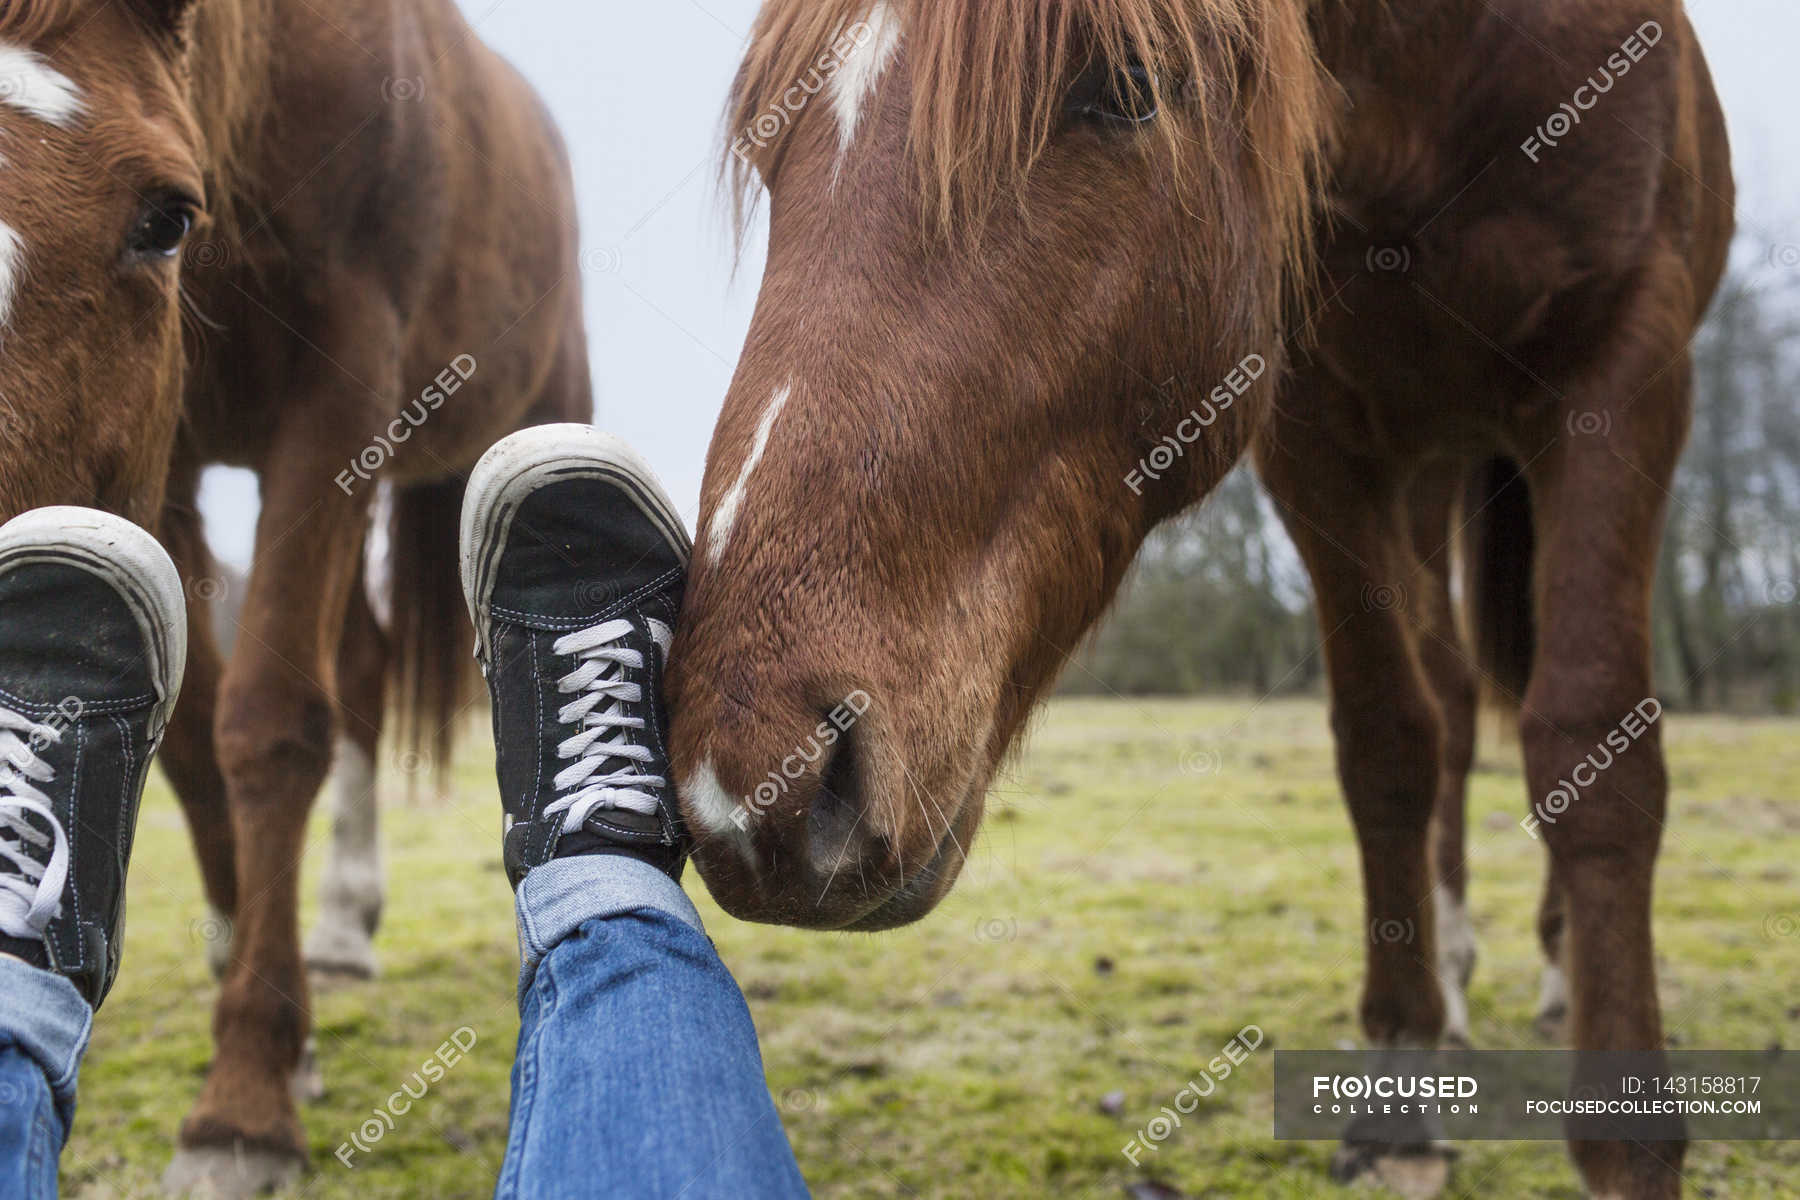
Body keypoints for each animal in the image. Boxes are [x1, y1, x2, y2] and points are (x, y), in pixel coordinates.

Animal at [0, 0, 590, 1194]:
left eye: (166, 218)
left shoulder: (337, 393)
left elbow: (270, 726)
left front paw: (245, 1103)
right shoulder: (168, 453)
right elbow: (192, 749)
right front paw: (272, 1010)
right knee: (361, 665)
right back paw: (341, 930)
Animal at [673, 2, 1728, 1200]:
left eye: (1131, 87)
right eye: (770, 140)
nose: (756, 784)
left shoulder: (1626, 365)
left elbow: (1596, 742)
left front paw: (1629, 1140)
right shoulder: (1315, 427)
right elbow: (1389, 746)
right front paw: (1399, 1090)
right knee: (1453, 705)